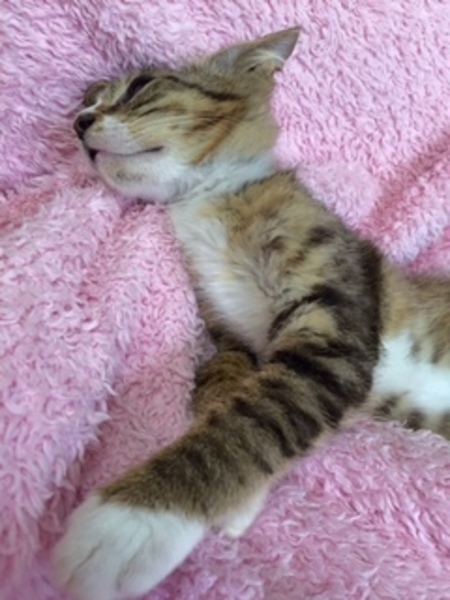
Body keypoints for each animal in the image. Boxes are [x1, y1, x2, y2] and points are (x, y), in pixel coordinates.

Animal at [52, 28, 450, 600]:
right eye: (88, 101)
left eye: (141, 87)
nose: (80, 122)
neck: (207, 198)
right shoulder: (232, 336)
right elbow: (225, 389)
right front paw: (236, 497)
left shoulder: (333, 322)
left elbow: (256, 414)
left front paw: (133, 520)